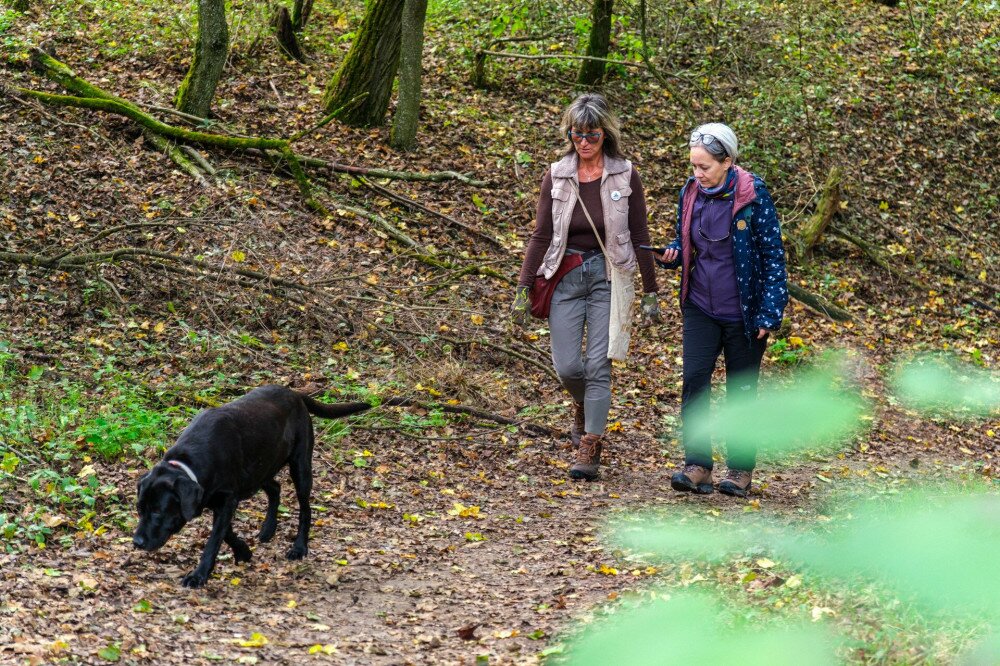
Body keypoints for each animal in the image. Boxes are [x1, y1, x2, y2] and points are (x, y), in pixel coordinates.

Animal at [135, 384, 376, 588]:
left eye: (157, 512)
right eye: (139, 510)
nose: (136, 542)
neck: (190, 465)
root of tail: (294, 393)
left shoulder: (227, 500)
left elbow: (214, 540)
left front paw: (199, 575)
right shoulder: (216, 500)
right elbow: (226, 533)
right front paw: (243, 552)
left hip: (300, 467)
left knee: (305, 509)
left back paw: (299, 547)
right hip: (261, 469)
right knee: (276, 488)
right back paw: (268, 528)